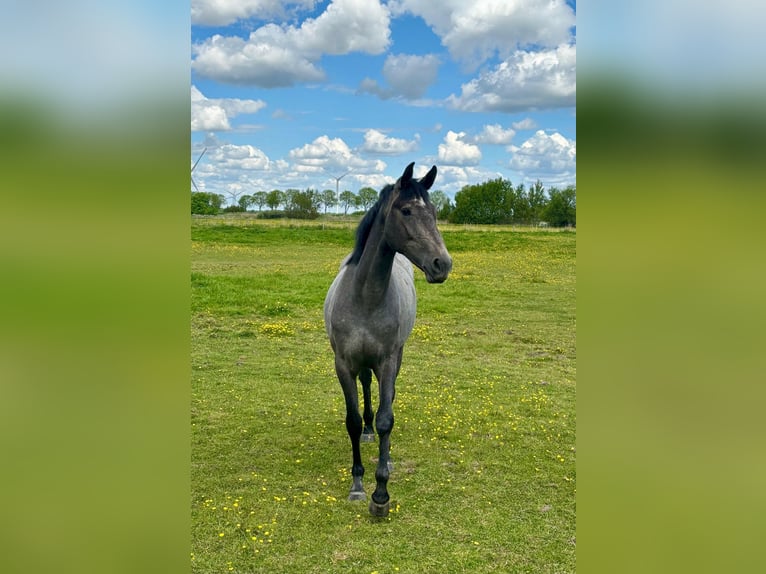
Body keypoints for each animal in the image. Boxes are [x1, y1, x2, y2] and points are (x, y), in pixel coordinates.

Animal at [323, 162, 452, 517]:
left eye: (434, 212)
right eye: (406, 210)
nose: (443, 264)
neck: (365, 296)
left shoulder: (388, 360)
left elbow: (386, 419)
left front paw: (380, 492)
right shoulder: (343, 364)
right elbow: (353, 421)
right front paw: (357, 483)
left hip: (396, 357)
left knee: (387, 398)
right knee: (367, 389)